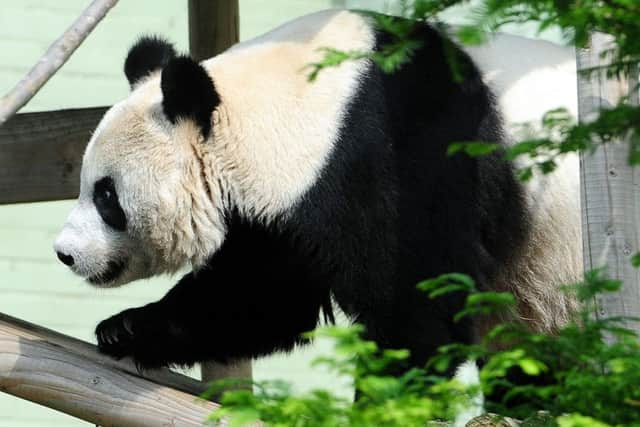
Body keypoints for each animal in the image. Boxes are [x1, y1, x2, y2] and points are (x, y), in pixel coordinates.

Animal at [52, 10, 580, 374]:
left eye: (106, 197)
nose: (64, 253)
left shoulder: (398, 159)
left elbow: (417, 298)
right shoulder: (288, 206)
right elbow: (258, 297)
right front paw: (127, 328)